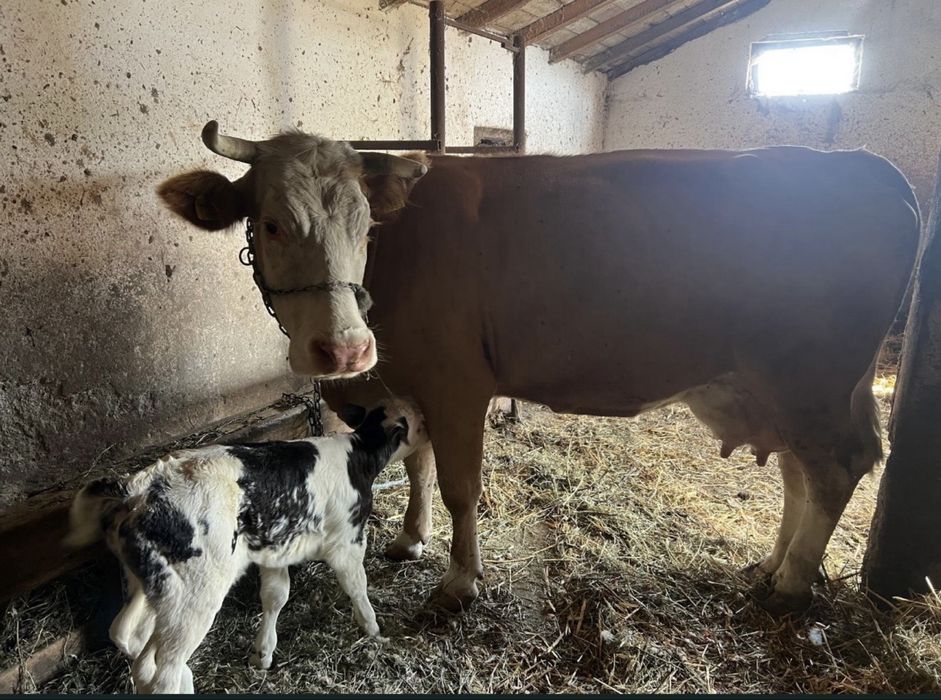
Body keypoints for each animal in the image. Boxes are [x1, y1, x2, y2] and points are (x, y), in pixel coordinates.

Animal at [65, 398, 425, 694]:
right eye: (416, 421)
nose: (427, 423)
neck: (360, 452)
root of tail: (139, 485)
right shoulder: (348, 541)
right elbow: (357, 585)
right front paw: (372, 627)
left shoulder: (277, 549)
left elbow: (276, 595)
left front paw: (262, 653)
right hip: (195, 594)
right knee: (160, 670)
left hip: (149, 582)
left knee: (126, 635)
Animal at [158, 122, 919, 616]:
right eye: (272, 223)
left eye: (365, 224)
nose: (343, 351)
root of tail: (867, 165)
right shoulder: (408, 385)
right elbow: (419, 462)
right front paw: (409, 540)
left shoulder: (458, 381)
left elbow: (460, 485)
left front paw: (459, 582)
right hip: (784, 385)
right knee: (801, 468)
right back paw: (771, 564)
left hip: (809, 376)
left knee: (835, 465)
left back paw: (791, 583)